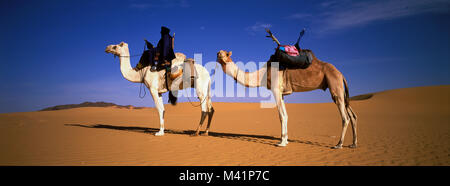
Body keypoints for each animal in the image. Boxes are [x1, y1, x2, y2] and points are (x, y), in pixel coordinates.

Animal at [218, 50, 358, 149]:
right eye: (220, 53)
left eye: (226, 53)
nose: (218, 53)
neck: (263, 74)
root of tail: (340, 73)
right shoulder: (282, 94)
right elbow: (286, 115)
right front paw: (285, 140)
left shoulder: (276, 90)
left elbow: (281, 116)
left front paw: (281, 142)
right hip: (340, 90)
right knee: (353, 115)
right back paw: (353, 144)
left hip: (335, 86)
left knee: (345, 117)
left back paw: (339, 144)